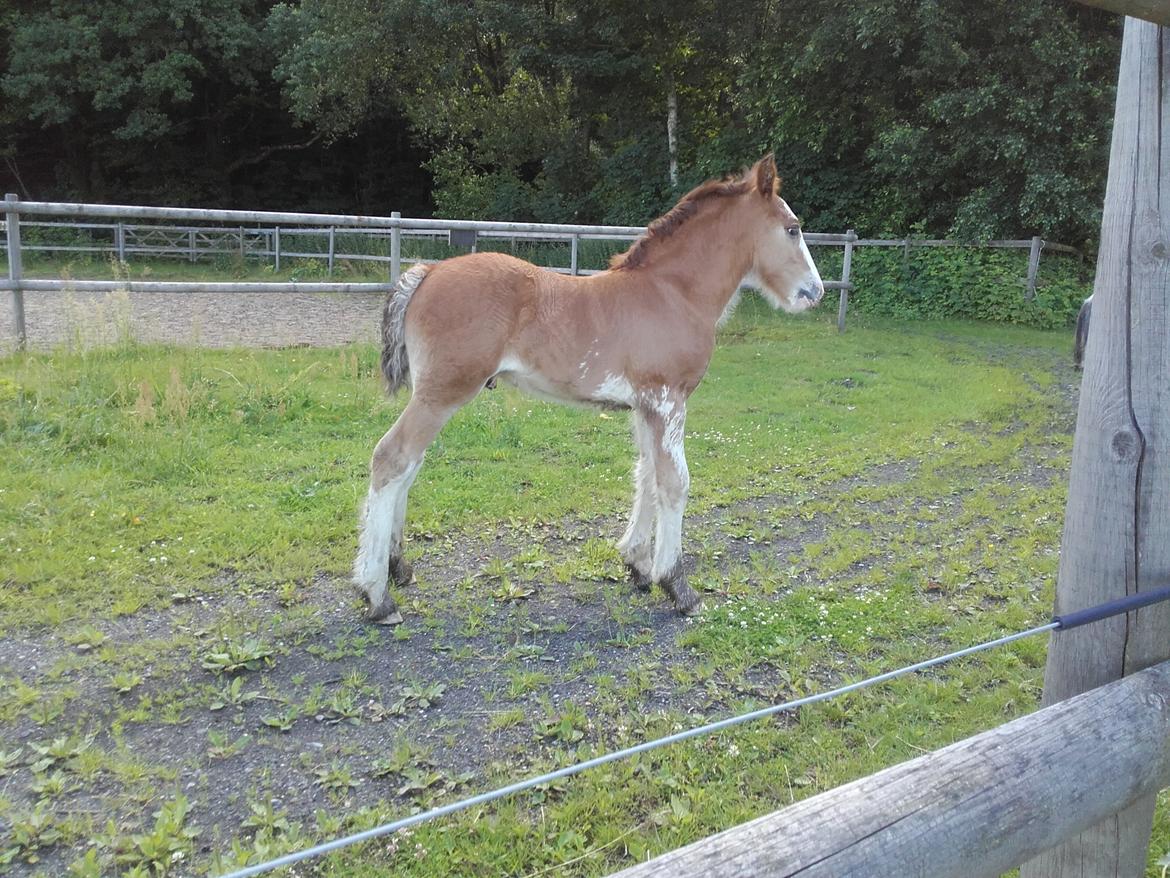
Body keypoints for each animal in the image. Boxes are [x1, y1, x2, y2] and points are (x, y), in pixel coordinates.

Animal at [353, 156, 823, 627]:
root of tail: (428, 271)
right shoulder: (669, 399)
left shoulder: (646, 406)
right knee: (392, 458)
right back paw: (377, 595)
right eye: (793, 228)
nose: (814, 291)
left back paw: (397, 567)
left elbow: (647, 474)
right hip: (442, 394)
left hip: (433, 394)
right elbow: (675, 482)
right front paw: (678, 586)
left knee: (409, 466)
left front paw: (638, 565)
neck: (672, 293)